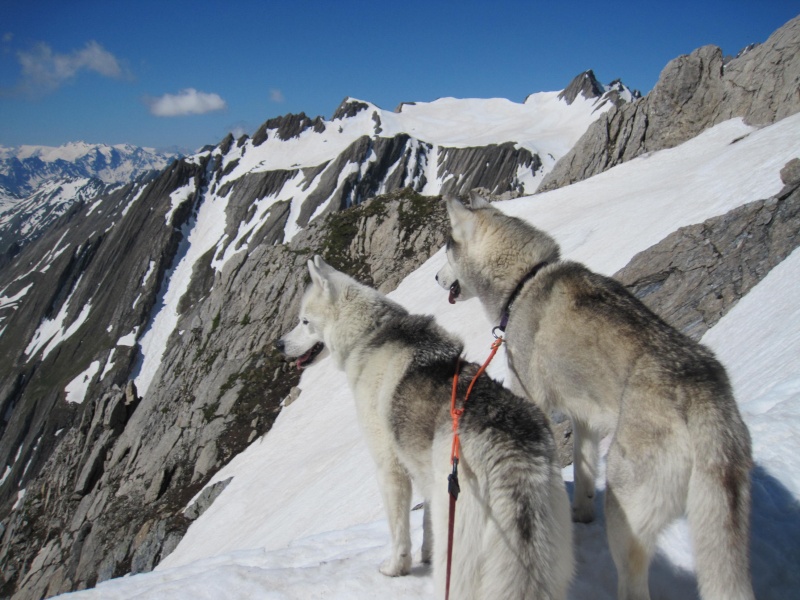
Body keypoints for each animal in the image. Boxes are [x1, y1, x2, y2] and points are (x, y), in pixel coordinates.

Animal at [278, 256, 572, 600]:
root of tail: (510, 454)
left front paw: (396, 568)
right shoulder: (426, 472)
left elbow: (399, 531)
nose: (279, 344)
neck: (370, 334)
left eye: (304, 321)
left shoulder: (390, 469)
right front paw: (425, 555)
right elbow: (426, 524)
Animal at [438, 197, 756, 600]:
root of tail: (702, 397)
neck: (524, 280)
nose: (435, 278)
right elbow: (584, 470)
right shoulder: (585, 418)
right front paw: (580, 516)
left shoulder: (531, 395)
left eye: (446, 248)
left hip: (626, 505)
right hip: (725, 515)